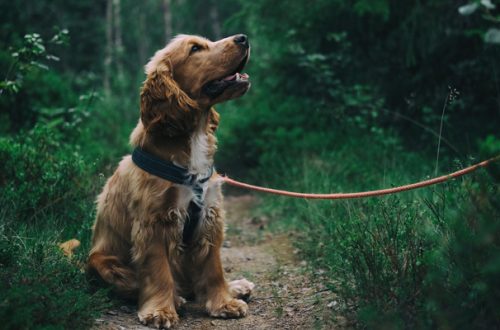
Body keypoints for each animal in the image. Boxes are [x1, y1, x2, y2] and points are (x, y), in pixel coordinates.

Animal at [86, 33, 256, 328]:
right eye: (195, 48)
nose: (243, 38)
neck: (191, 137)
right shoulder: (154, 222)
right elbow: (158, 271)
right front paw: (161, 311)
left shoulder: (210, 216)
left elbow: (213, 268)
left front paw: (224, 302)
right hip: (102, 262)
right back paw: (176, 299)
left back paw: (235, 286)